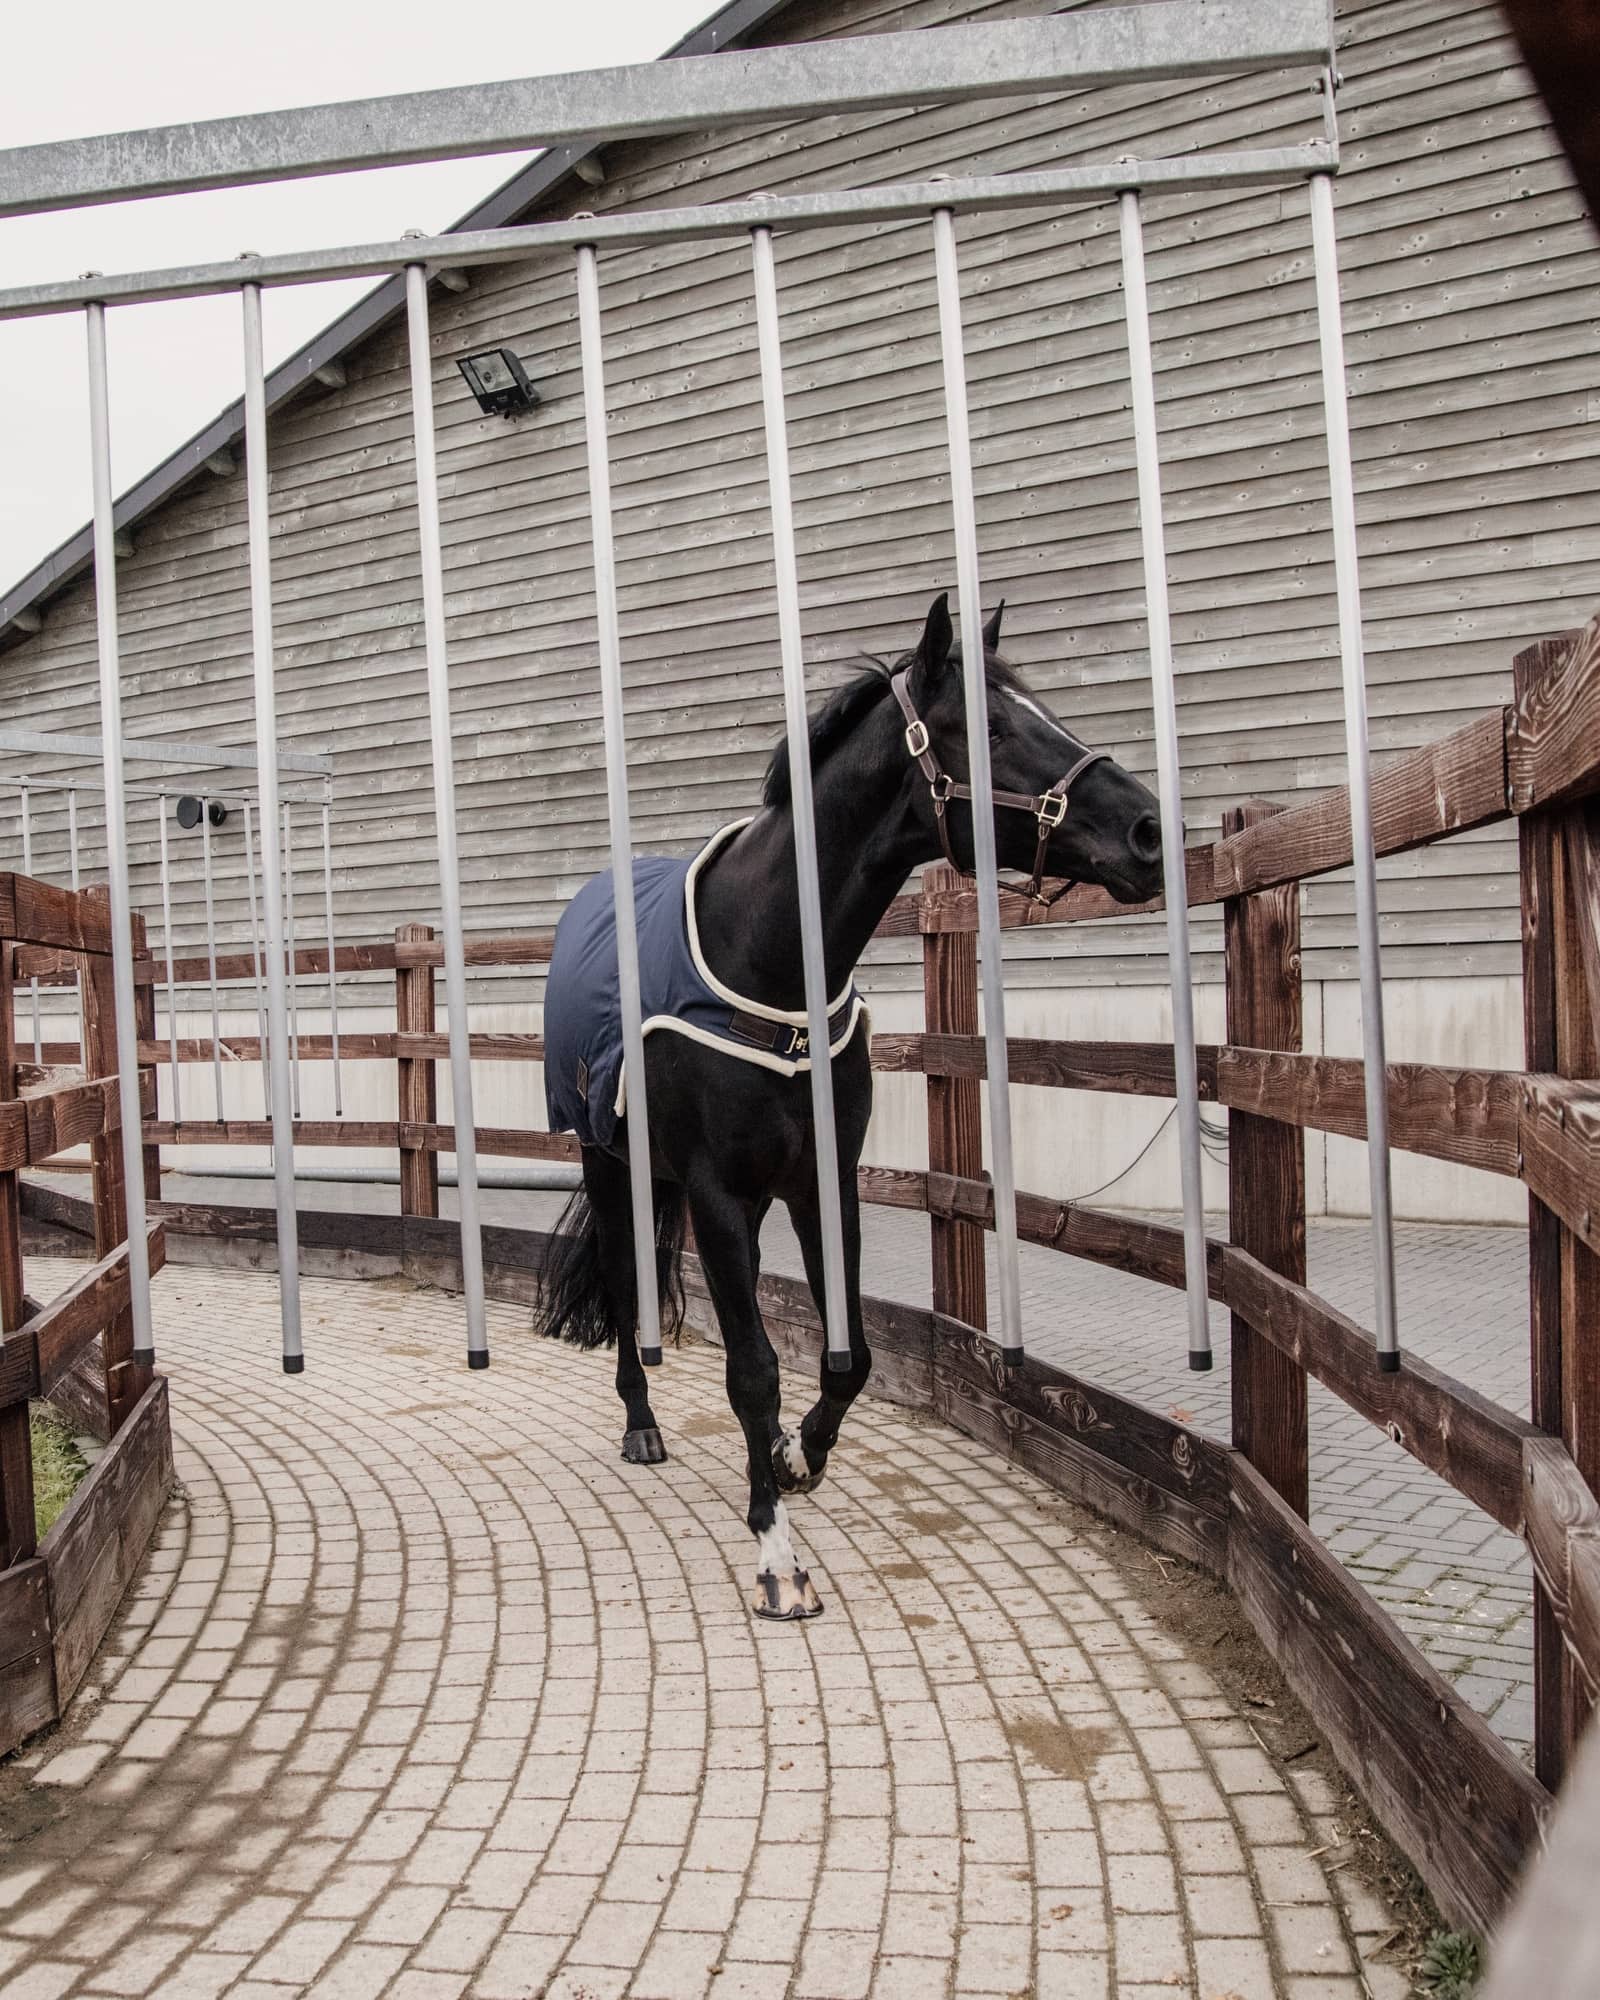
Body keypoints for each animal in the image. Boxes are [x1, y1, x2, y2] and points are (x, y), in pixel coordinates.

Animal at [540, 584, 1160, 1616]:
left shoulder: (822, 1184)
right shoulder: (715, 1195)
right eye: (990, 728)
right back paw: (641, 1425)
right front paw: (775, 1553)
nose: (1151, 831)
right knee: (628, 1282)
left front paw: (798, 1458)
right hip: (611, 1160)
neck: (770, 958)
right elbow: (752, 1370)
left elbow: (849, 1354)